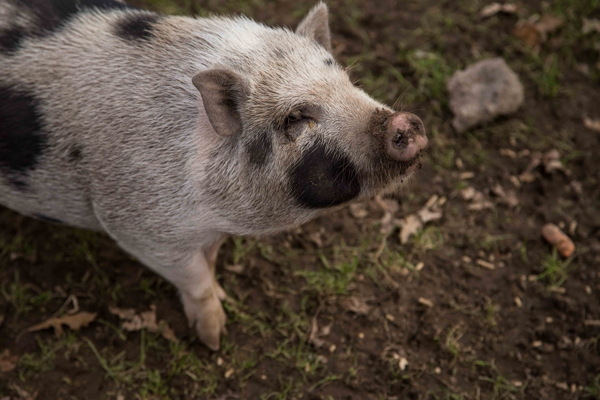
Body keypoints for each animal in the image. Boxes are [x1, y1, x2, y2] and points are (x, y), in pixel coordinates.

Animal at [2, 0, 428, 350]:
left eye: (348, 82)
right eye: (295, 118)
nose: (404, 122)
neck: (214, 212)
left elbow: (210, 260)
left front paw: (224, 297)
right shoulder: (137, 226)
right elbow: (194, 279)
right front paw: (214, 338)